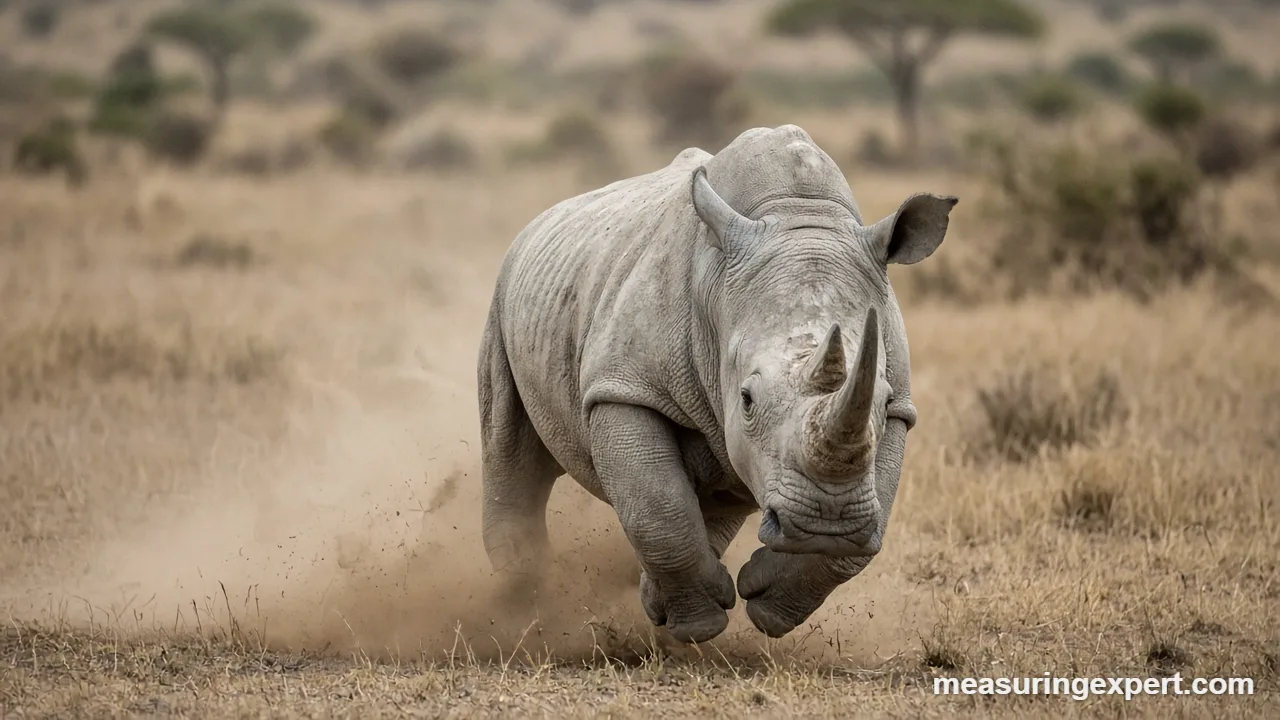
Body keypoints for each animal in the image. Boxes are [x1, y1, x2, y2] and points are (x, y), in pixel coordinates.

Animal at [477, 125, 957, 643]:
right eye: (746, 399)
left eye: (881, 398)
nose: (823, 523)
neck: (797, 214)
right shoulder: (624, 387)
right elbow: (658, 508)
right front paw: (699, 626)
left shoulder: (899, 409)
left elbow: (861, 534)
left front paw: (763, 606)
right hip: (506, 294)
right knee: (509, 446)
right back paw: (526, 600)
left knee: (722, 486)